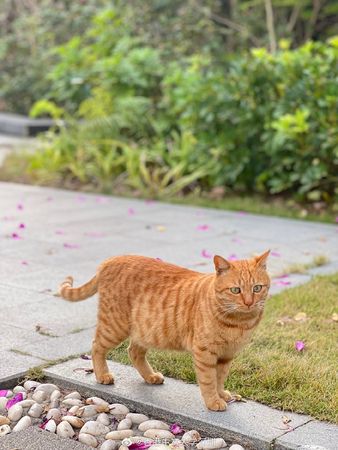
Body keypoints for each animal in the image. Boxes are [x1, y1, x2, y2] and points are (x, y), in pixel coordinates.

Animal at [58, 251, 270, 410]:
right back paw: (102, 375)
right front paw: (213, 401)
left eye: (257, 288)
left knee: (133, 352)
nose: (249, 302)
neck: (239, 323)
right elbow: (209, 380)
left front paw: (221, 394)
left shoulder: (227, 355)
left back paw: (150, 377)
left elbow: (220, 377)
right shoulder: (205, 353)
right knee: (96, 347)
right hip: (114, 326)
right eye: (236, 290)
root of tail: (111, 259)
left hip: (145, 331)